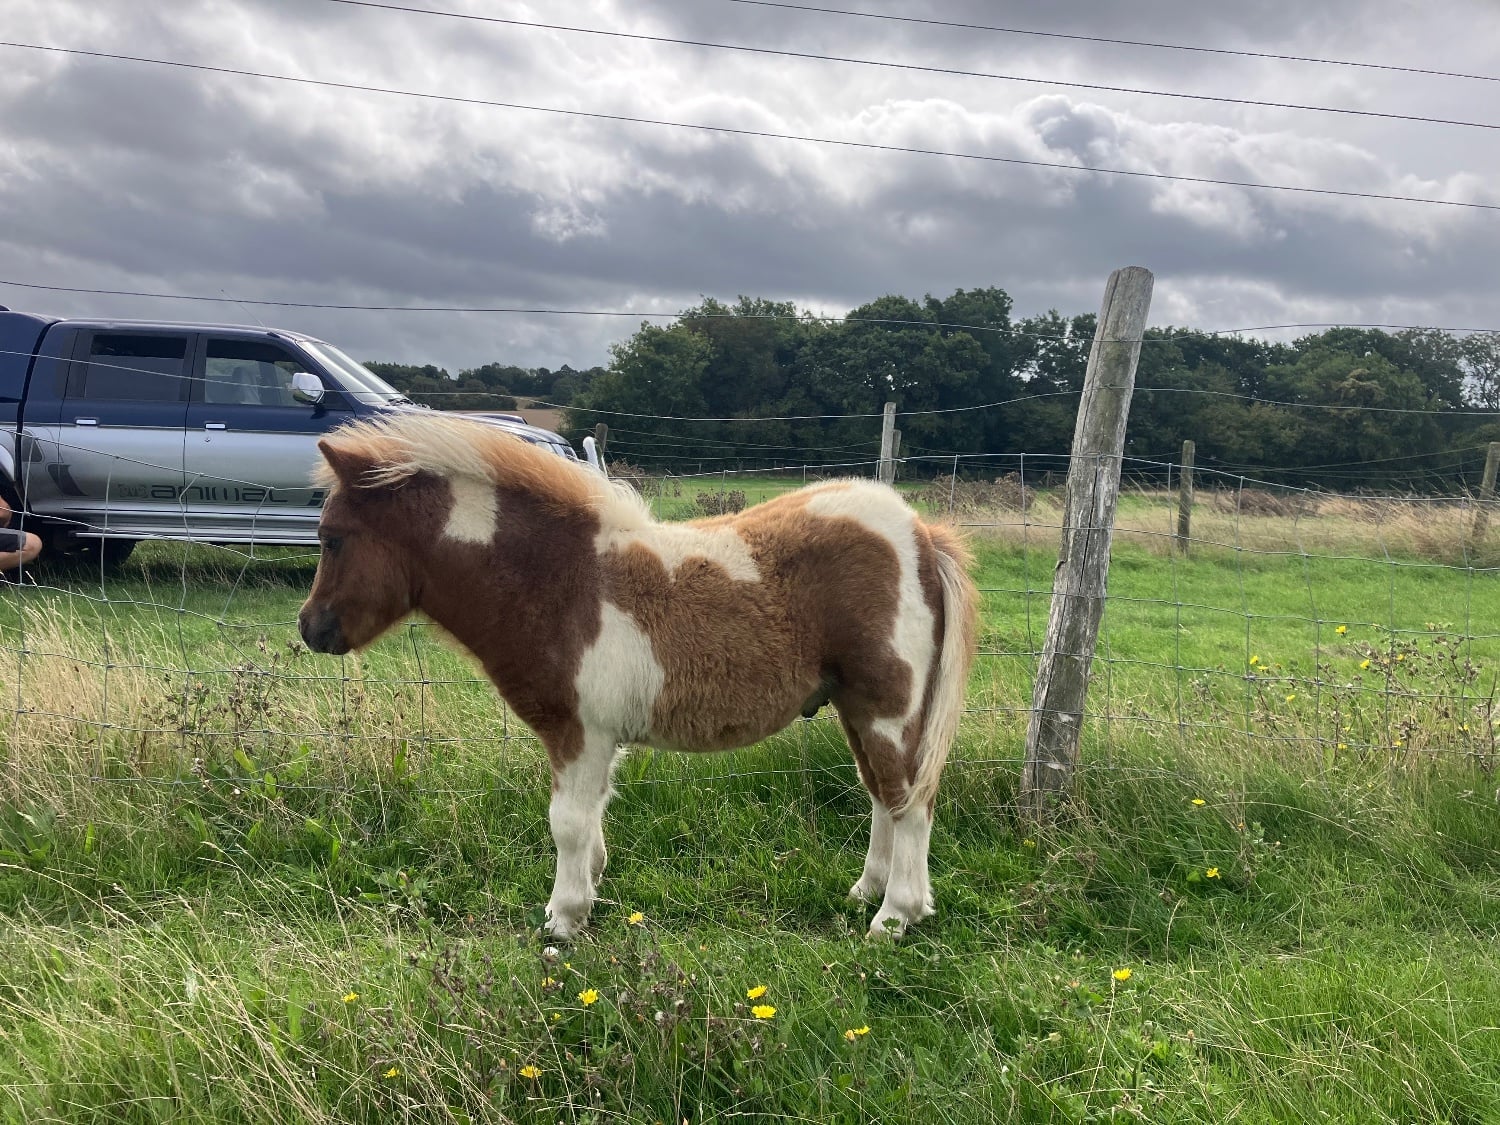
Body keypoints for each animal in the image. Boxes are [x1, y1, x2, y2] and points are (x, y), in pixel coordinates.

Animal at [297, 413, 979, 938]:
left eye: (333, 538)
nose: (310, 629)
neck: (558, 580)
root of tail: (921, 534)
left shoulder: (579, 732)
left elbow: (568, 823)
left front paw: (562, 922)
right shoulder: (593, 739)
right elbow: (592, 821)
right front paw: (585, 896)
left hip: (888, 705)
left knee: (908, 800)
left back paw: (895, 916)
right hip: (855, 707)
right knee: (882, 795)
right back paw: (866, 892)